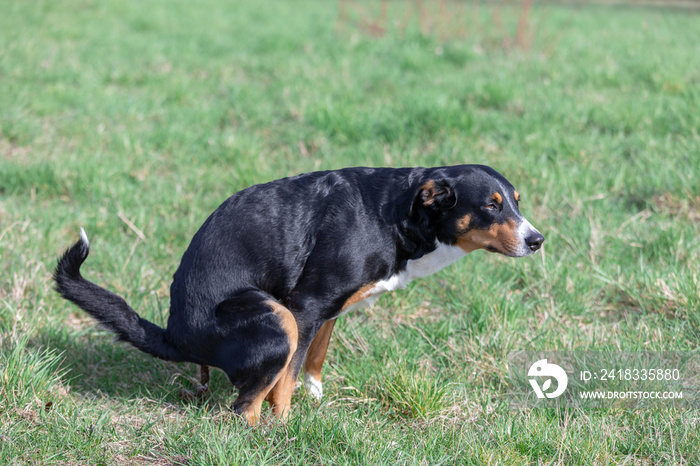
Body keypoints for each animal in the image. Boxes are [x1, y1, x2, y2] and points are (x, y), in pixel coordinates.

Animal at [56, 166, 548, 424]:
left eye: (516, 201)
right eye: (490, 205)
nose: (537, 240)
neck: (392, 215)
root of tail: (175, 335)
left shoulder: (328, 311)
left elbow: (314, 360)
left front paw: (316, 397)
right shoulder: (305, 306)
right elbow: (286, 380)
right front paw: (287, 423)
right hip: (277, 320)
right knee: (243, 407)